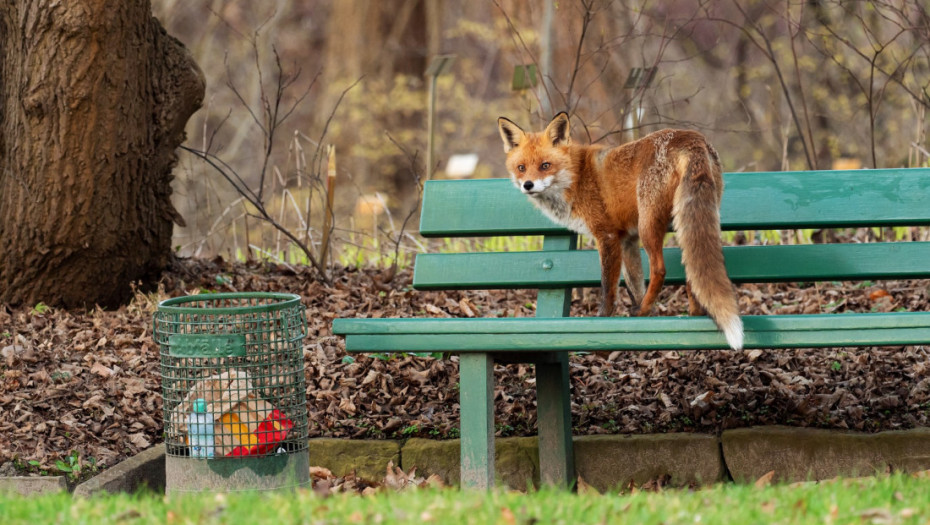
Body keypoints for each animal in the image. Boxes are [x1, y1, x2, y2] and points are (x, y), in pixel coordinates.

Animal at [496, 111, 744, 348]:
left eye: (545, 165)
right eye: (521, 168)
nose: (528, 185)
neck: (576, 177)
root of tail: (690, 137)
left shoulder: (607, 235)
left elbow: (608, 287)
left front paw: (605, 320)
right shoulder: (627, 239)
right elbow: (635, 284)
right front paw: (643, 318)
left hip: (648, 224)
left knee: (659, 269)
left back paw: (646, 310)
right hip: (684, 221)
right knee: (692, 270)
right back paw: (691, 313)